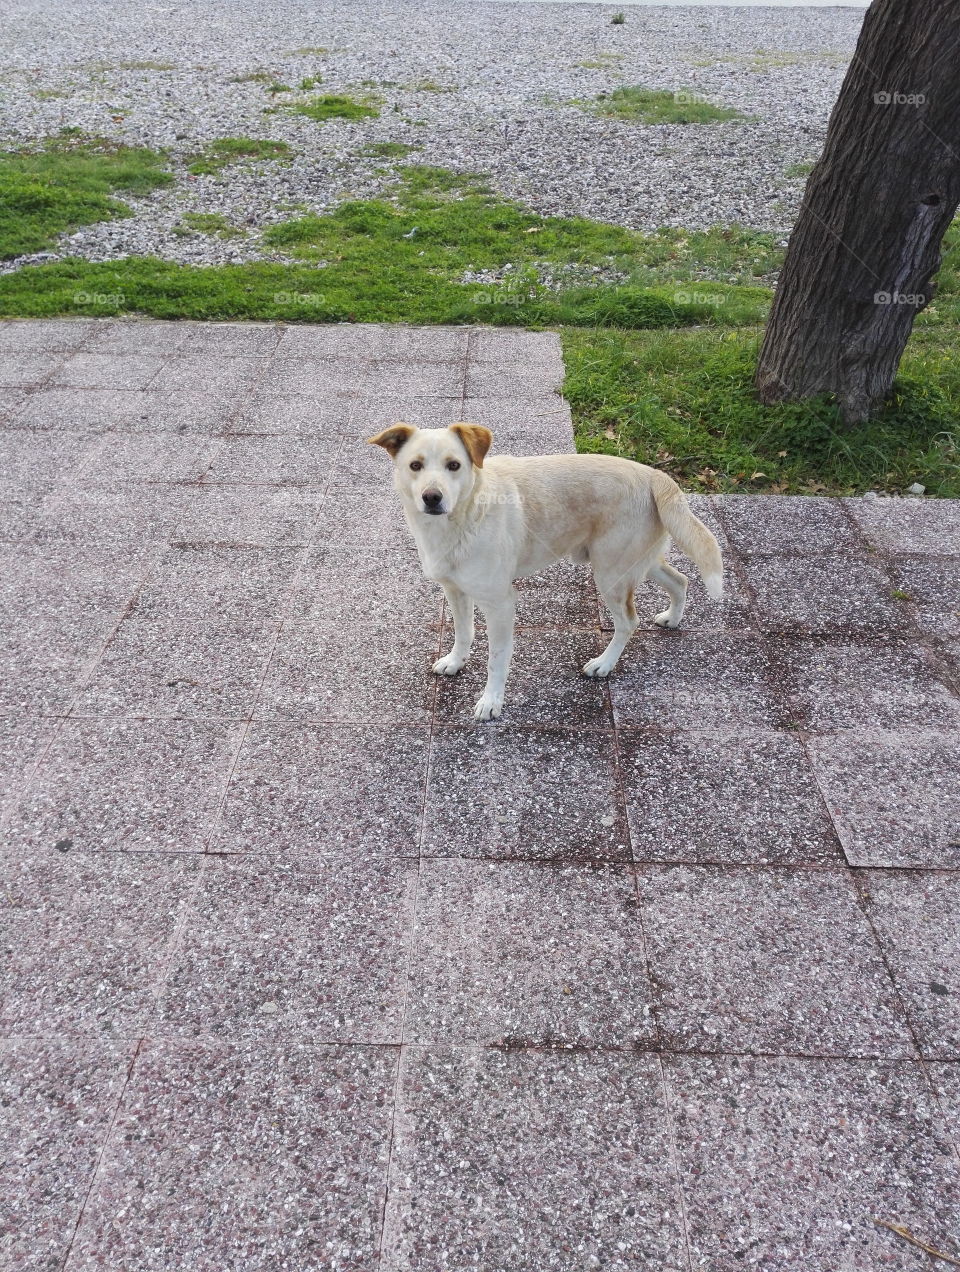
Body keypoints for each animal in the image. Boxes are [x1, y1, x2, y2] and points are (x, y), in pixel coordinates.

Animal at [368, 417, 722, 717]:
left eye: (453, 465)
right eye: (415, 466)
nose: (432, 497)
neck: (464, 516)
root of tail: (654, 475)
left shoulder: (500, 604)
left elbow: (496, 659)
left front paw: (491, 701)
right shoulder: (455, 591)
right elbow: (463, 632)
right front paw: (456, 661)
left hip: (610, 574)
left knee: (628, 622)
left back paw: (604, 664)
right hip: (634, 564)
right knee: (681, 580)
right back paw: (673, 618)